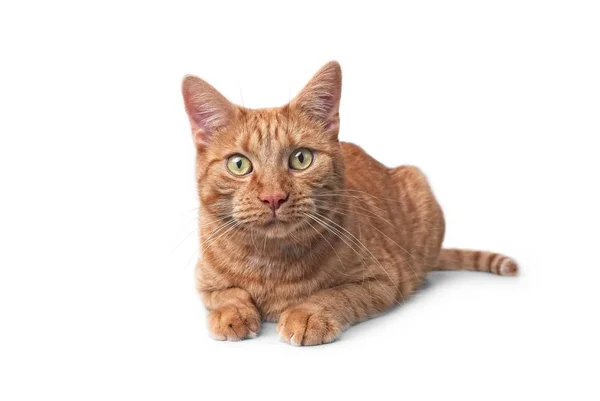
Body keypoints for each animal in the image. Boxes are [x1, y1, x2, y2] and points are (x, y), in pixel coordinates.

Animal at [180, 61, 516, 346]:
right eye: (239, 165)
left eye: (300, 159)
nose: (273, 196)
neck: (271, 261)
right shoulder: (203, 280)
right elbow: (227, 294)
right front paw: (232, 313)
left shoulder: (383, 279)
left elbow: (336, 295)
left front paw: (307, 314)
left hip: (417, 183)